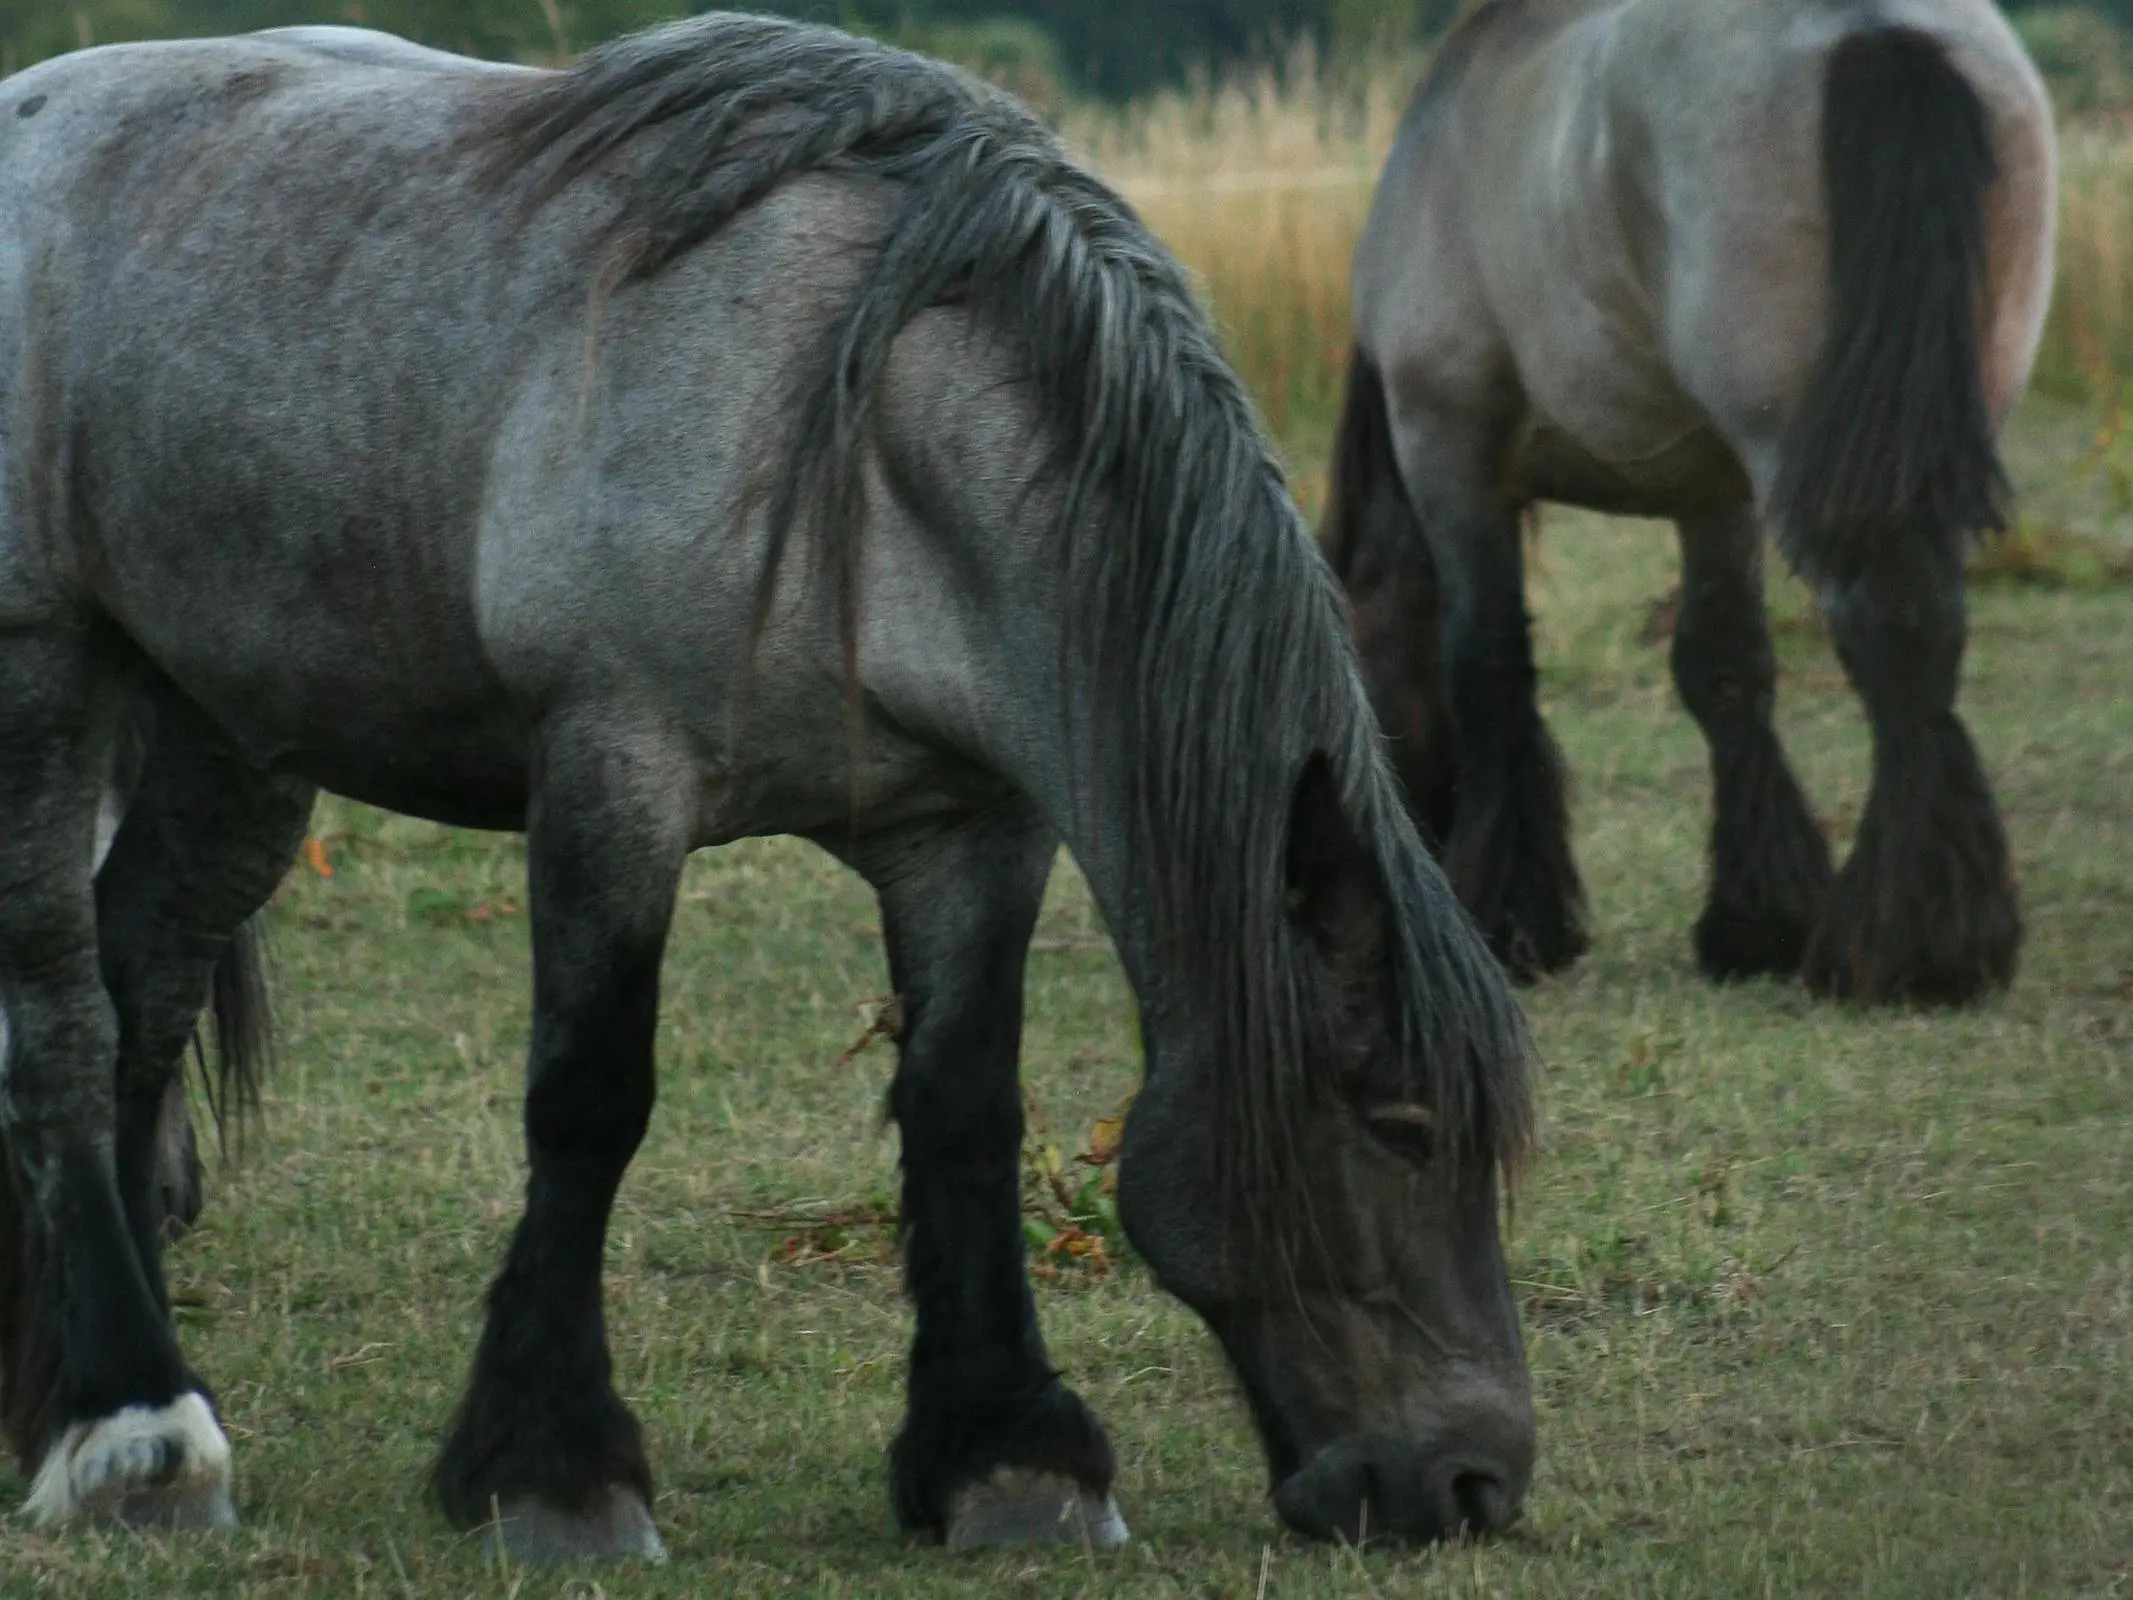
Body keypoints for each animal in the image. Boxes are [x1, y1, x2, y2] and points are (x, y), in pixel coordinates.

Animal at [0, 12, 1535, 1570]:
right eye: (1398, 1126)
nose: (1477, 1482)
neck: (870, 453)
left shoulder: (972, 827)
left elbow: (966, 1105)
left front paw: (1008, 1454)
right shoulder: (615, 774)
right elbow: (590, 1099)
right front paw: (556, 1469)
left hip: (233, 735)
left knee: (142, 996)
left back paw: (70, 1380)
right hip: (49, 680)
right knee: (64, 1025)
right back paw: (132, 1430)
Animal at [1330, 0, 2047, 1002]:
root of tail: (1872, 27)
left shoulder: (1449, 451)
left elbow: (1486, 663)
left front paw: (1509, 920)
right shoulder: (1714, 493)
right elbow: (1725, 669)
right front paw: (1757, 920)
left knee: (1885, 627)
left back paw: (1905, 945)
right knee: (1926, 631)